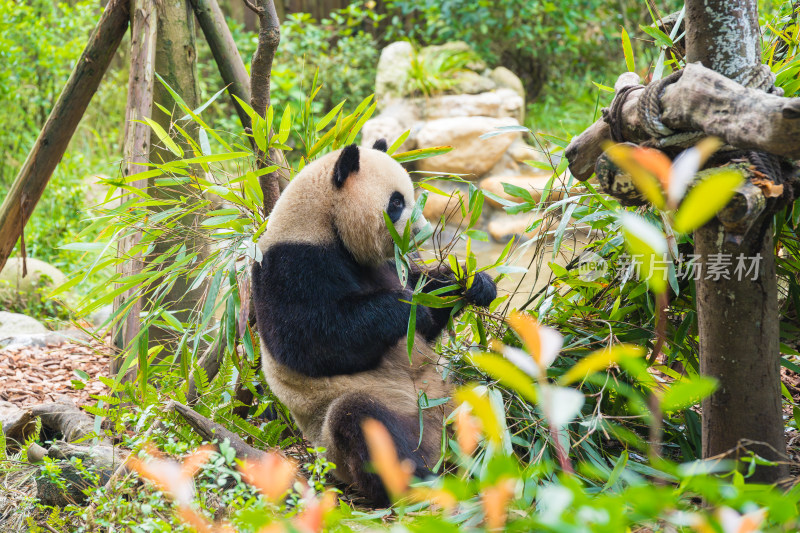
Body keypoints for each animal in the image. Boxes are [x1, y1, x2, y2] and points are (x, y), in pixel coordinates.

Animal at [253, 139, 496, 504]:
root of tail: (439, 441)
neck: (322, 222)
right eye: (396, 202)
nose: (420, 233)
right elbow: (312, 341)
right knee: (361, 422)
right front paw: (407, 307)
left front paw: (472, 283)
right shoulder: (291, 265)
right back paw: (418, 479)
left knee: (489, 389)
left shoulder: (390, 264)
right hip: (368, 421)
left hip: (455, 398)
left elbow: (425, 297)